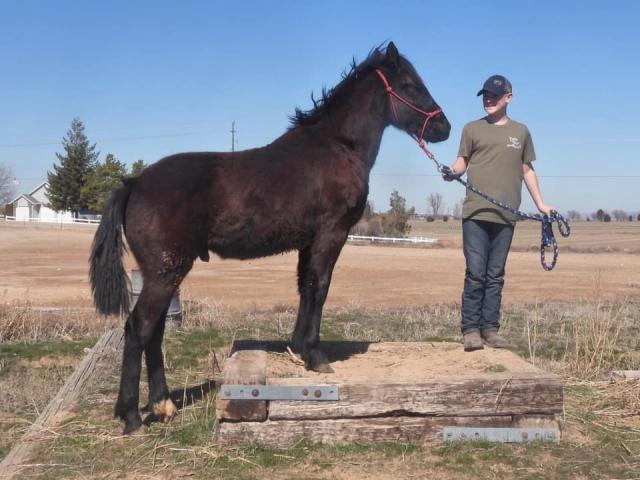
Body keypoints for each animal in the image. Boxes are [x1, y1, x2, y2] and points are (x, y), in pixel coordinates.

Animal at [89, 42, 450, 436]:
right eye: (411, 84)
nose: (444, 127)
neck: (336, 146)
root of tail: (134, 182)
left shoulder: (309, 242)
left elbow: (305, 287)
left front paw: (298, 348)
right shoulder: (332, 234)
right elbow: (320, 287)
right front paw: (315, 356)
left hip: (165, 274)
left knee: (153, 331)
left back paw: (163, 404)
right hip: (164, 272)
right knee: (138, 328)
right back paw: (132, 417)